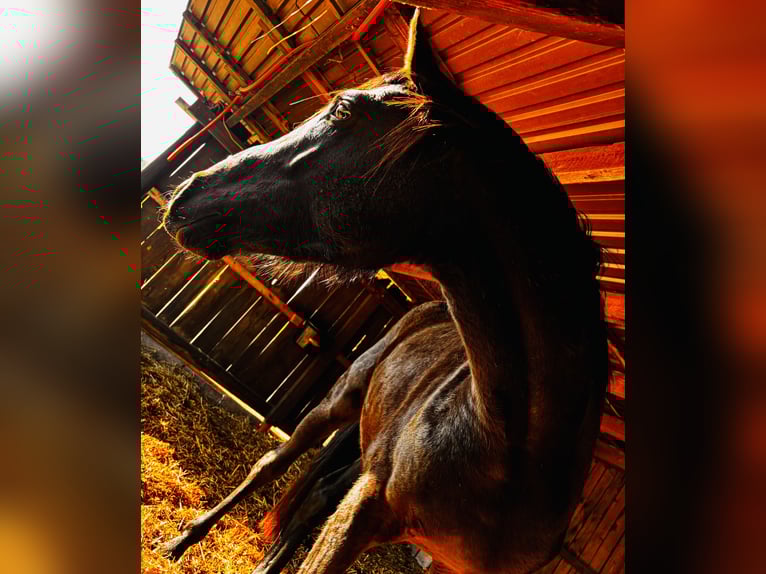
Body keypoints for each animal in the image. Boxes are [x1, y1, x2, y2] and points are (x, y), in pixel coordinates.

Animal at [159, 9, 608, 573]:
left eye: (345, 109)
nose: (188, 192)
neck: (511, 449)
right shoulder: (365, 505)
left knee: (317, 493)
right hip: (340, 404)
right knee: (272, 464)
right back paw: (181, 540)